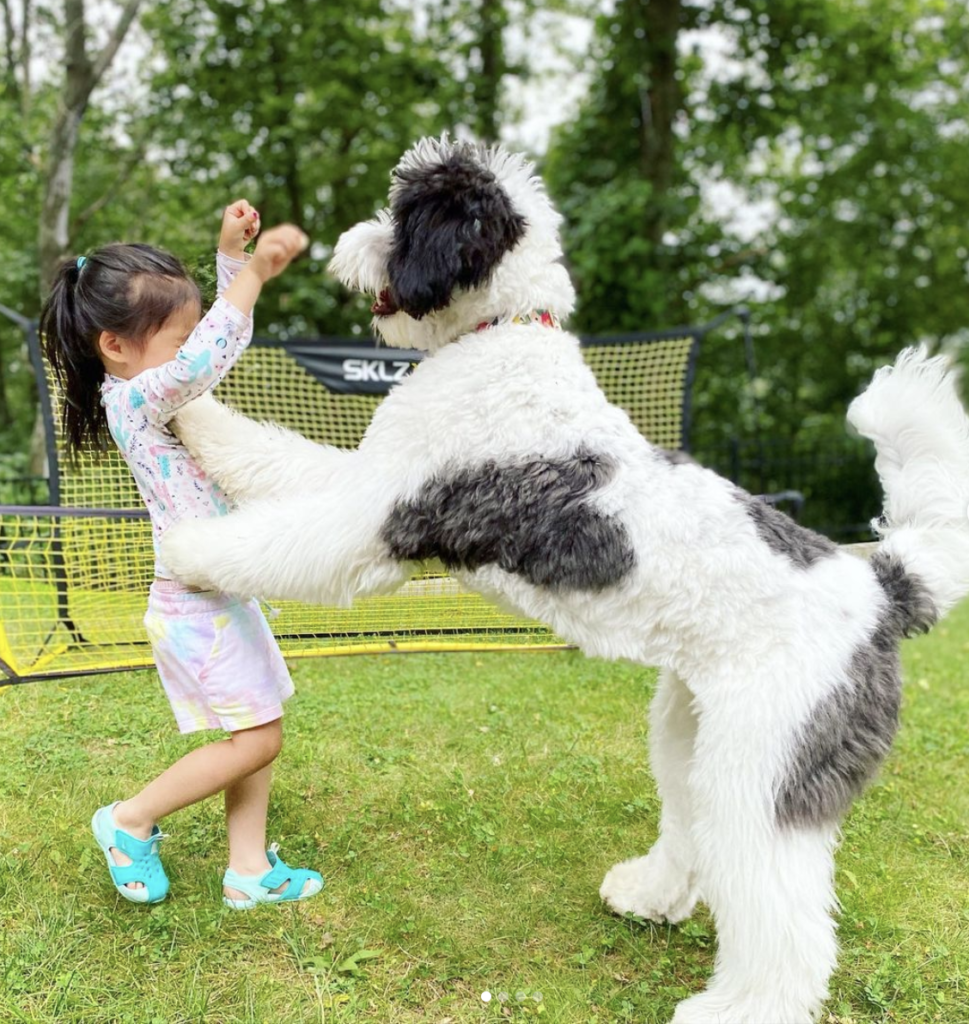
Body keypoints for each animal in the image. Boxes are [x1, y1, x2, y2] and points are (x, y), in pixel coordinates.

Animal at [162, 138, 966, 1024]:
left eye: (403, 212)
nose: (343, 244)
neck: (498, 334)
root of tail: (881, 589)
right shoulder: (370, 479)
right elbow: (271, 455)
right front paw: (189, 406)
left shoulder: (372, 519)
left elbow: (279, 535)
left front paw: (191, 548)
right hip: (690, 733)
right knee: (693, 835)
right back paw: (648, 895)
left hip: (767, 771)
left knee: (785, 919)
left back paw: (738, 1005)